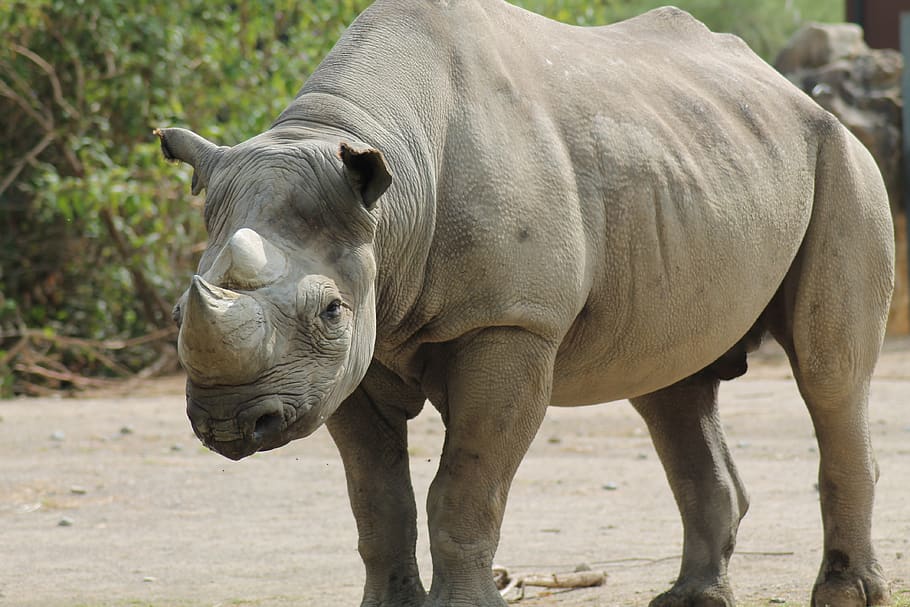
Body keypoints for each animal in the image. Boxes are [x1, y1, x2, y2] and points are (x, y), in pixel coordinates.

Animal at [156, 2, 895, 606]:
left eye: (330, 310)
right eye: (177, 316)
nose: (229, 421)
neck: (390, 195)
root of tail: (790, 88)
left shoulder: (510, 321)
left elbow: (465, 486)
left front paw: (466, 606)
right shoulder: (348, 360)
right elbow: (377, 498)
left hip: (845, 161)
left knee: (830, 376)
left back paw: (845, 593)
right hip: (702, 164)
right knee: (672, 387)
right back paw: (693, 598)